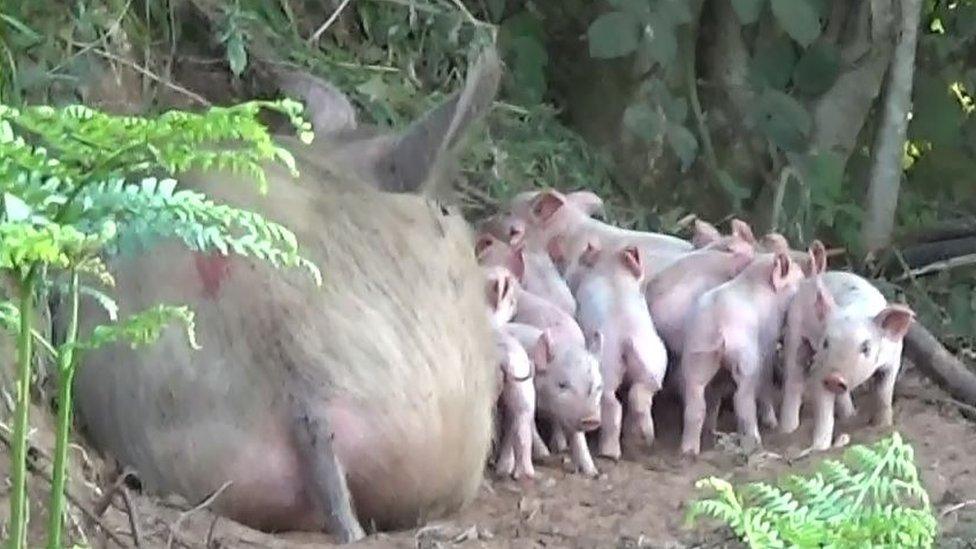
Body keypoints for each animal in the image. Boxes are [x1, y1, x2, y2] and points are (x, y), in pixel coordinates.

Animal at [504, 322, 604, 476]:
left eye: (599, 387)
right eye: (562, 384)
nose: (592, 419)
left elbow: (578, 436)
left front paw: (592, 472)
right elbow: (530, 422)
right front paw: (544, 454)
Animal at [576, 242, 668, 456]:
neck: (612, 271)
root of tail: (626, 339)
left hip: (607, 363)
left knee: (612, 402)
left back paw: (609, 453)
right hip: (654, 360)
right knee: (641, 395)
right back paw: (643, 440)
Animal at [680, 250, 808, 456]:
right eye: (800, 279)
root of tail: (717, 322)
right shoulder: (767, 340)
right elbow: (766, 376)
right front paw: (771, 423)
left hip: (697, 353)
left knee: (696, 401)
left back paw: (691, 450)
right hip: (745, 355)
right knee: (742, 398)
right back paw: (755, 442)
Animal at [776, 268, 916, 452]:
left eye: (866, 348)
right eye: (825, 343)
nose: (835, 378)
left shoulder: (894, 359)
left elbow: (884, 393)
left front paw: (883, 426)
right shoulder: (821, 368)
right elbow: (823, 409)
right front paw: (820, 448)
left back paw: (850, 415)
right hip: (794, 331)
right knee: (793, 379)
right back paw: (787, 430)